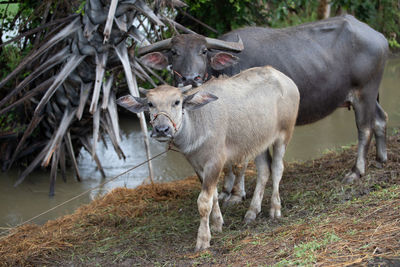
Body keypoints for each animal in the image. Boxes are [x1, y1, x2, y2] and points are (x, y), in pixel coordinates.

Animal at [137, 15, 388, 188]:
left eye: (204, 51)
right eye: (174, 52)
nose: (190, 78)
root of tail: (380, 37)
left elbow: (242, 159)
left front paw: (235, 193)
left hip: (364, 92)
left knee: (364, 128)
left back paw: (356, 171)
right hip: (369, 95)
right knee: (381, 119)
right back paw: (381, 158)